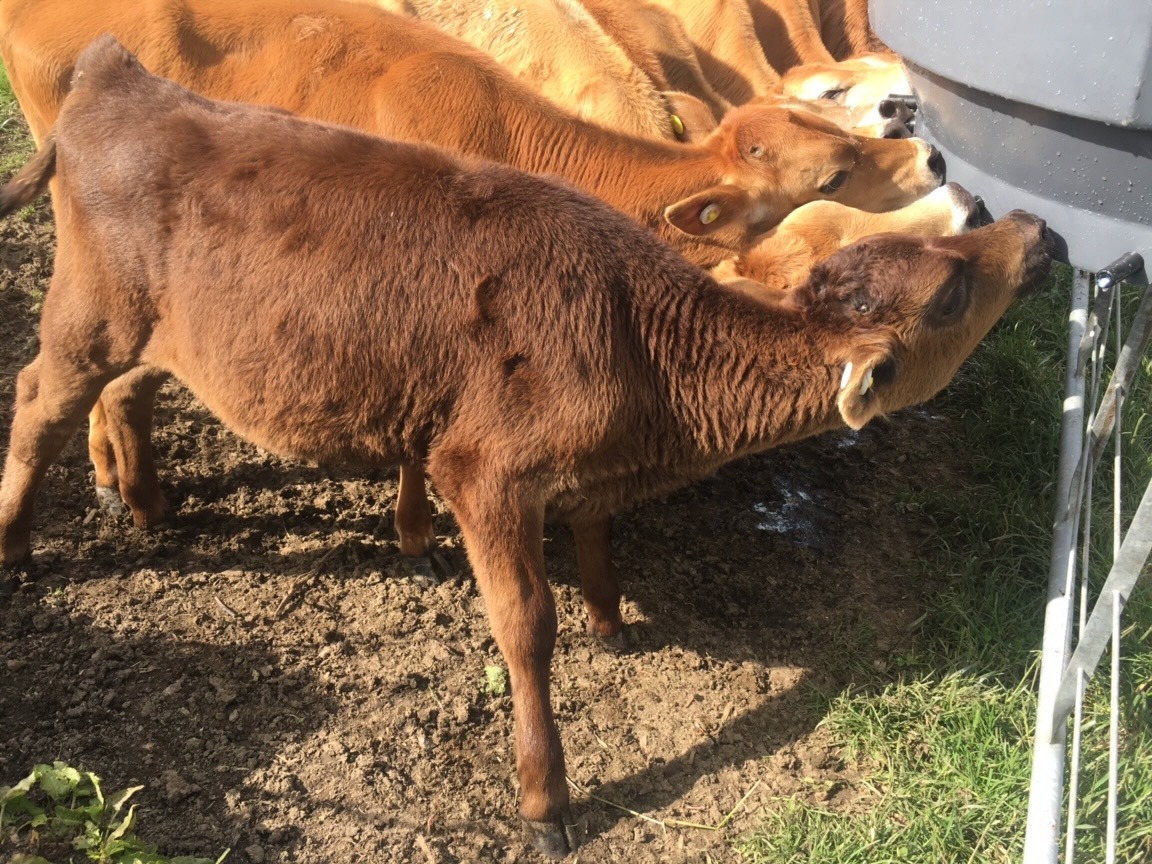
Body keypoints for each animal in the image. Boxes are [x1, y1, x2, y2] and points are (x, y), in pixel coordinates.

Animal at [0, 38, 1050, 861]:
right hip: (87, 318)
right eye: (950, 295)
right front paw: (547, 800)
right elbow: (525, 625)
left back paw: (144, 503)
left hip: (161, 335)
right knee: (35, 402)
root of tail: (120, 75)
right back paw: (19, 549)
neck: (635, 339)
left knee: (125, 394)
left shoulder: (563, 469)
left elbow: (595, 541)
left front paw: (612, 621)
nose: (1031, 224)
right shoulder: (488, 473)